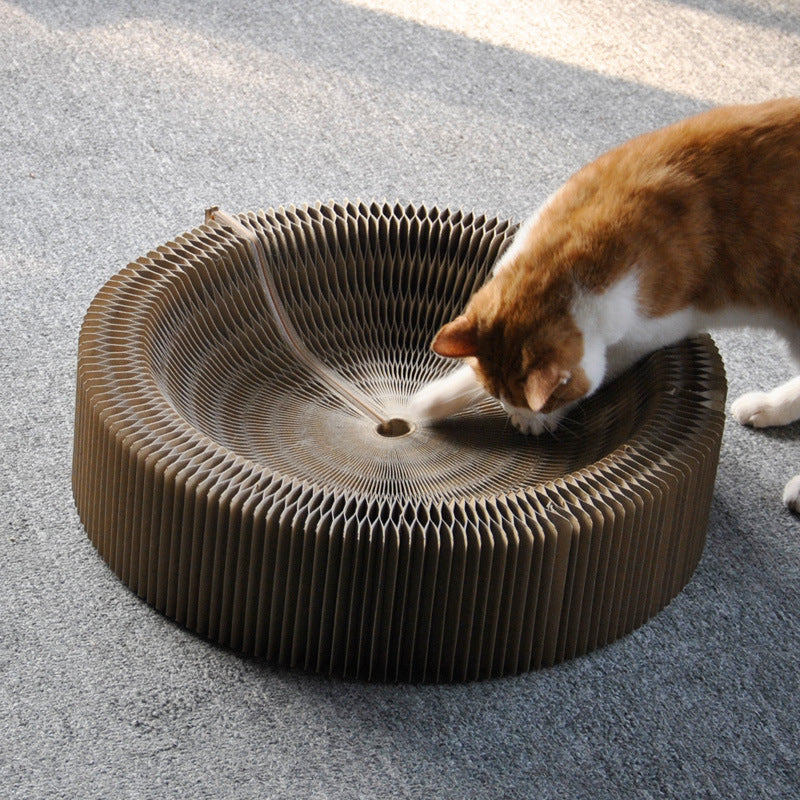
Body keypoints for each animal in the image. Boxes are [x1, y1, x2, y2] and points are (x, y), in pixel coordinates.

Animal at [410, 100, 800, 510]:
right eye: (497, 396)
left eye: (542, 403)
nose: (522, 421)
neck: (575, 249)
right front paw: (431, 401)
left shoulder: (652, 330)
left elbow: (601, 374)